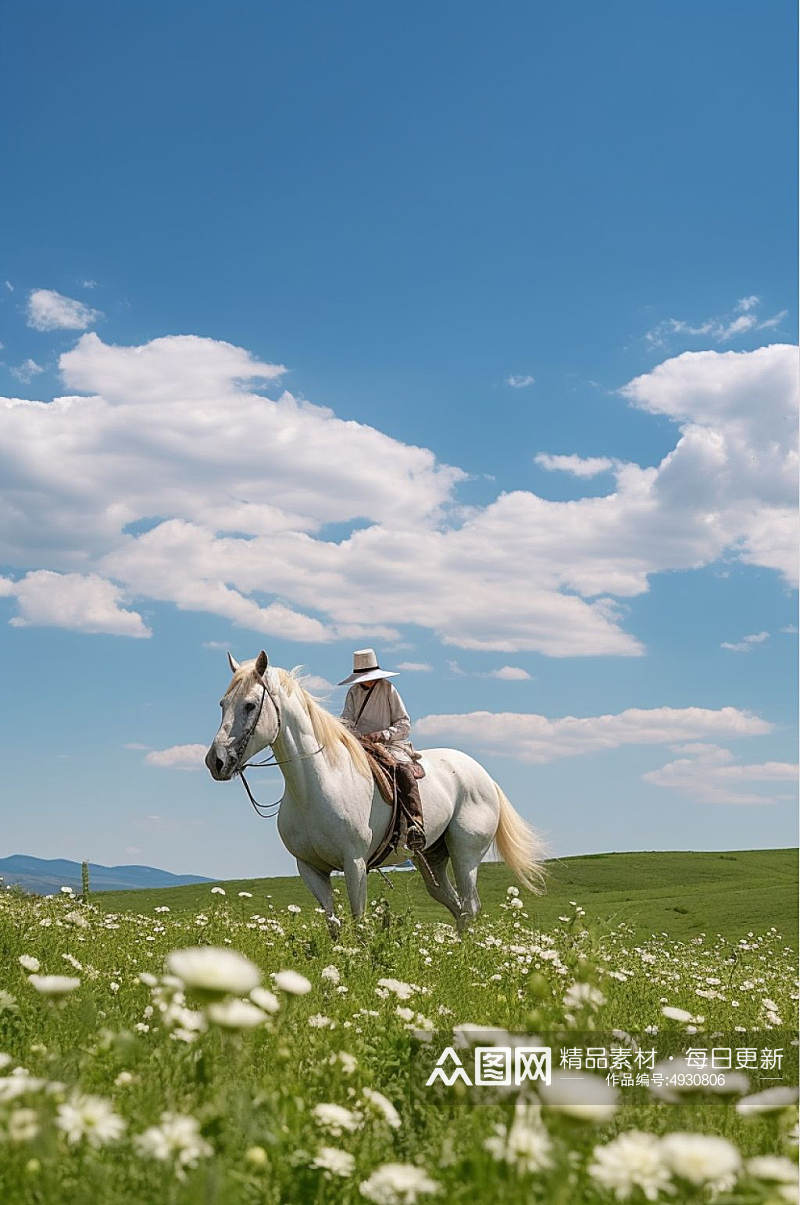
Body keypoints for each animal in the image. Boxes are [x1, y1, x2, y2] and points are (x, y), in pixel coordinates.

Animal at [206, 650, 544, 930]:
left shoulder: (354, 864)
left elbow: (359, 922)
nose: (216, 761)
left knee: (470, 906)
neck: (314, 789)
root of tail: (483, 776)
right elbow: (334, 925)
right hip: (432, 859)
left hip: (466, 855)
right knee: (456, 907)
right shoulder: (310, 869)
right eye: (222, 704)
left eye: (250, 705)